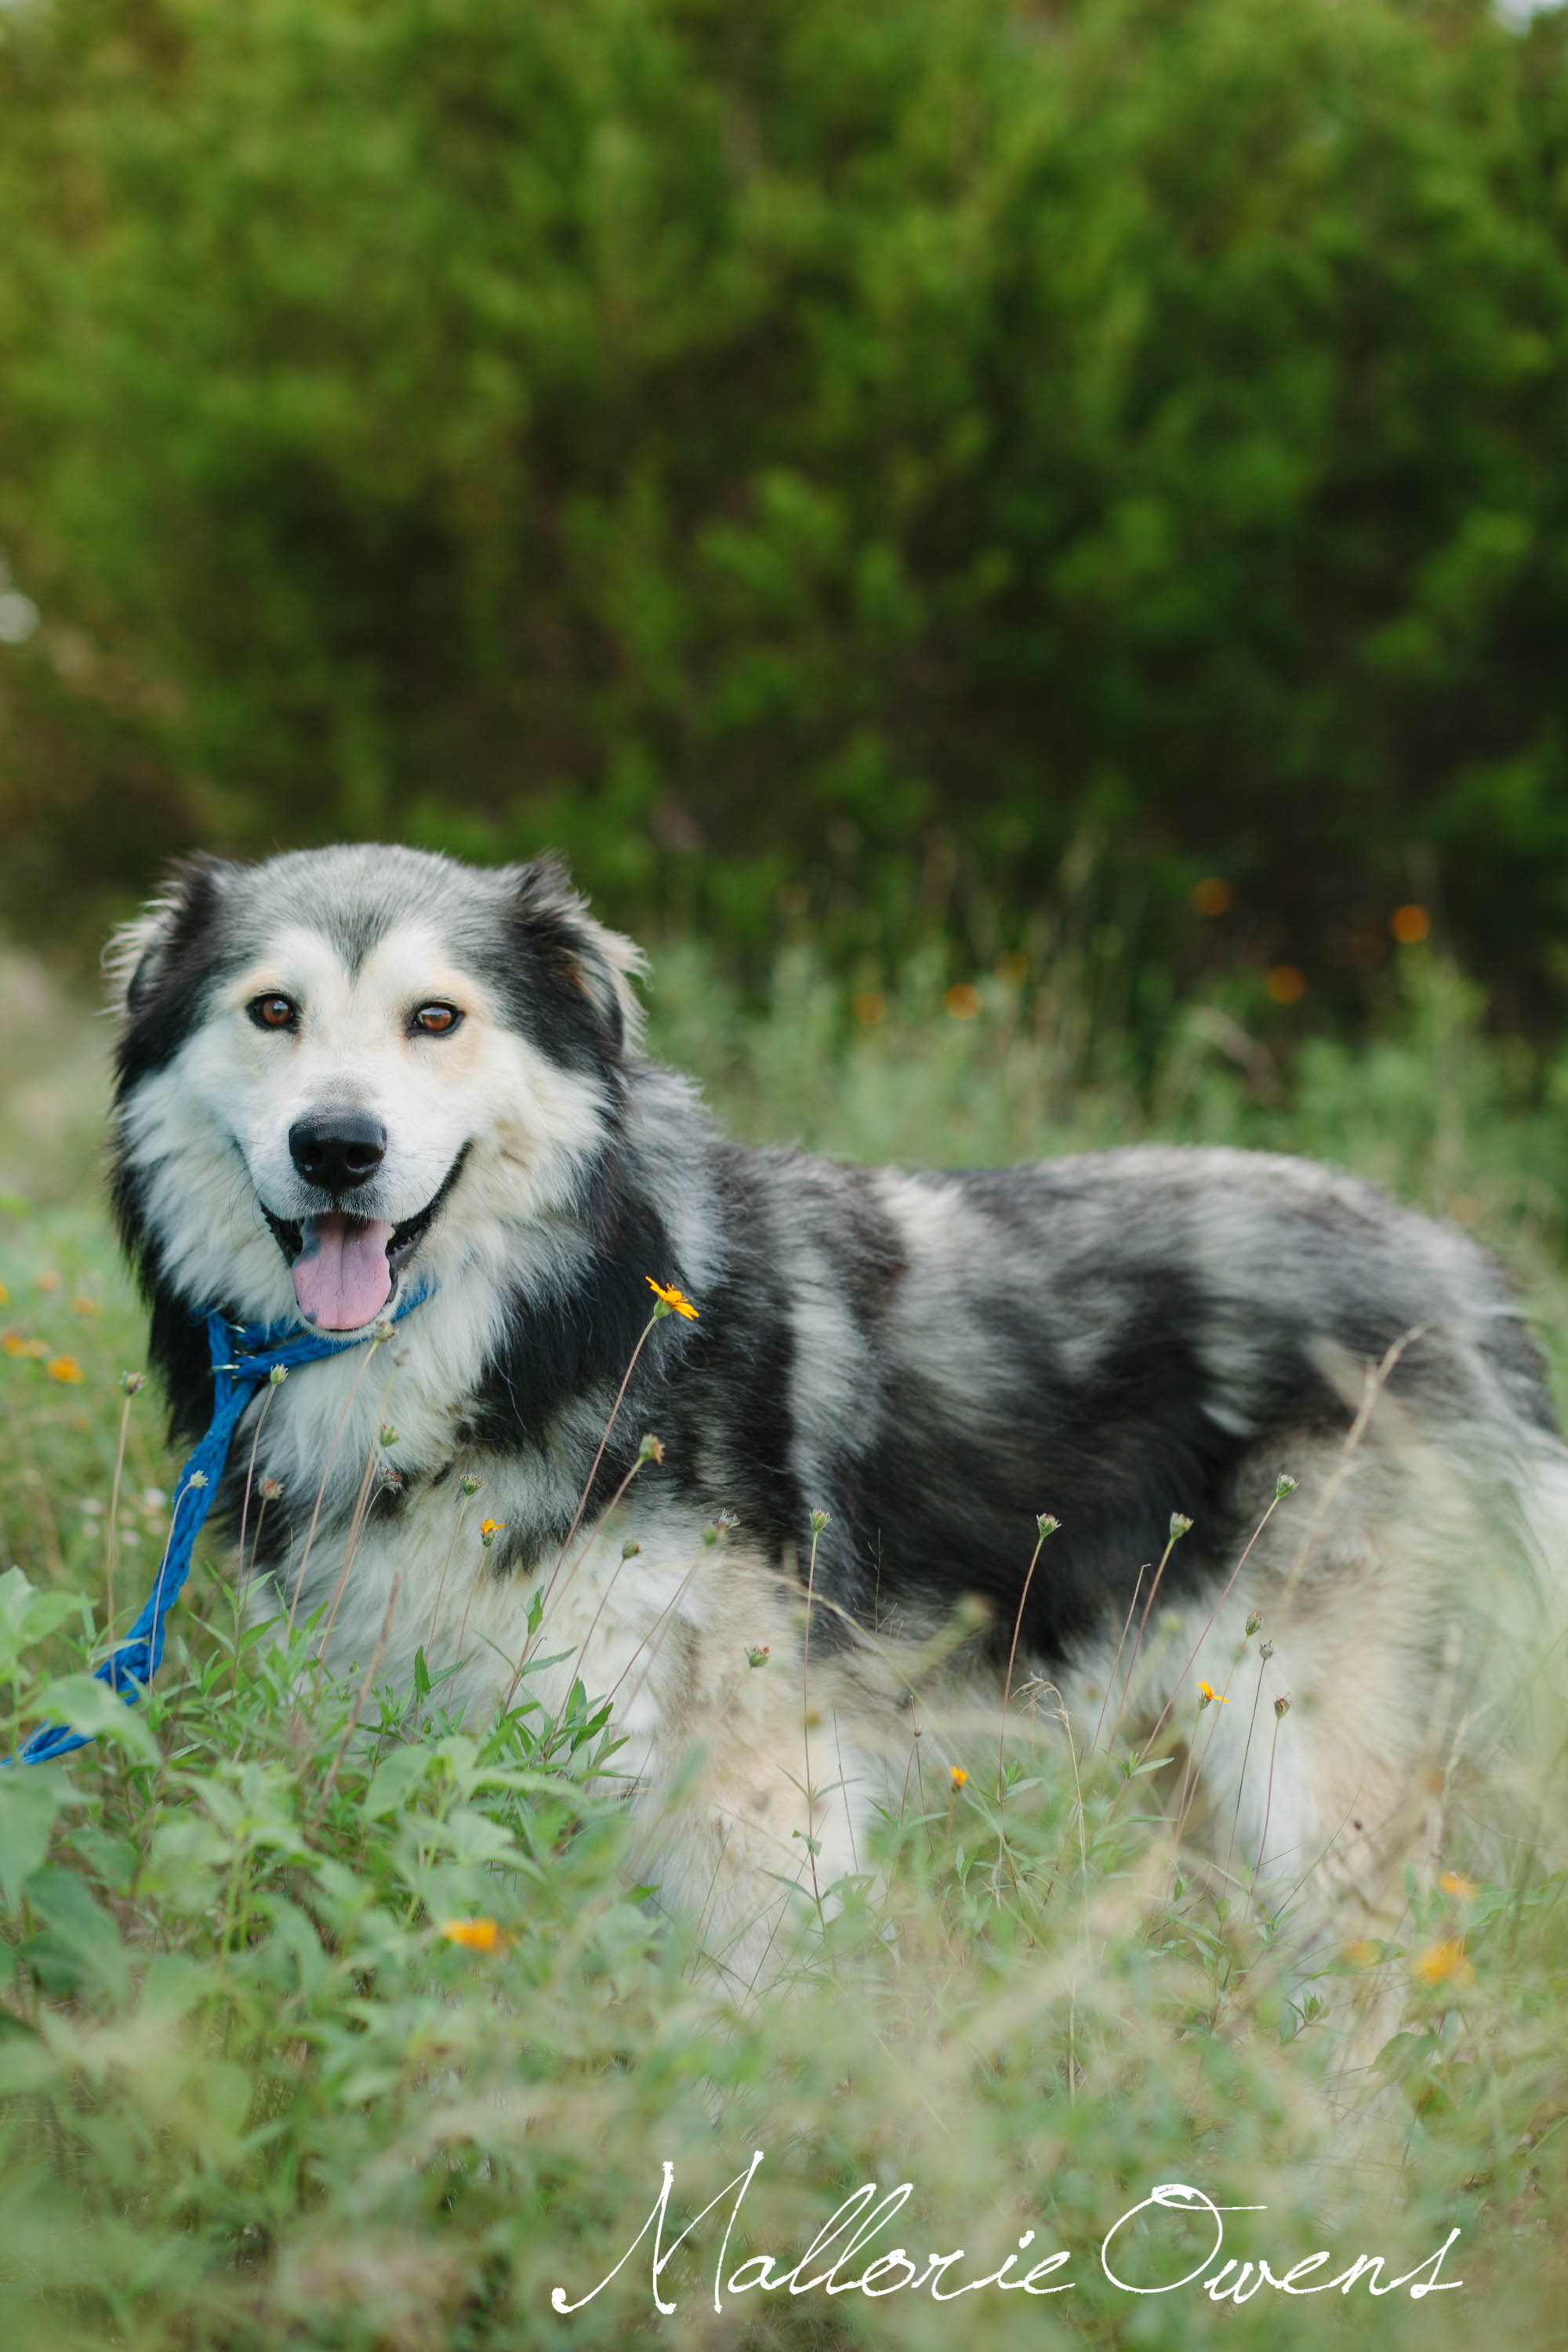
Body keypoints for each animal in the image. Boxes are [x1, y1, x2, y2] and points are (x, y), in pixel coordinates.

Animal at [103, 847, 1561, 1985]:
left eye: (435, 1018)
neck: (539, 1328)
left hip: (1310, 1768)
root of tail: (1465, 1274)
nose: (337, 1149)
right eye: (273, 1011)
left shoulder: (751, 1793)